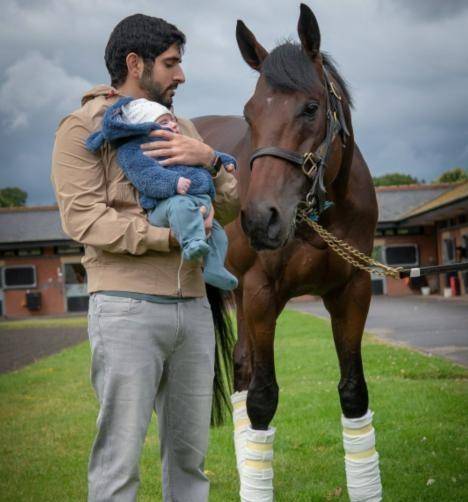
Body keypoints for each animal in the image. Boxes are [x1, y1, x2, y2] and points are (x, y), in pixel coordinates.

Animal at [196, 5, 382, 500]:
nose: (260, 218)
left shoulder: (353, 291)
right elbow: (262, 400)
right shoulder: (262, 293)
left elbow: (353, 392)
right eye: (249, 113)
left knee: (241, 367)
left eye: (311, 107)